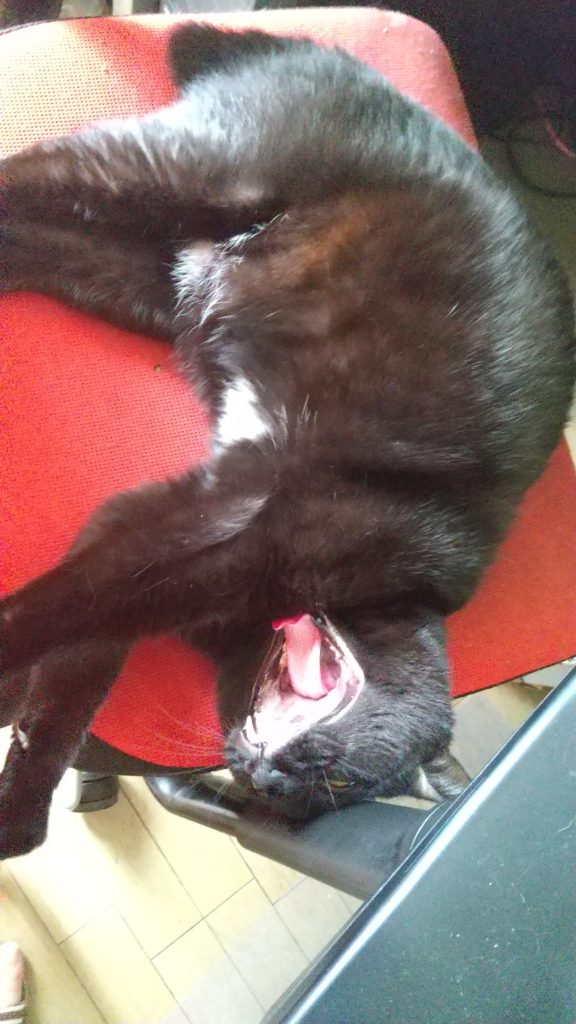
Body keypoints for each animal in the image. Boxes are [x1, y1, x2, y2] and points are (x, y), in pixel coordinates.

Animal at [0, 24, 574, 859]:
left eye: (302, 801)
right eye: (333, 778)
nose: (262, 774)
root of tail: (308, 48)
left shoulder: (147, 528)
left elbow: (76, 667)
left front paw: (17, 781)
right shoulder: (218, 525)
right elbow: (66, 609)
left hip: (143, 275)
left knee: (24, 239)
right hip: (191, 169)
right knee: (31, 172)